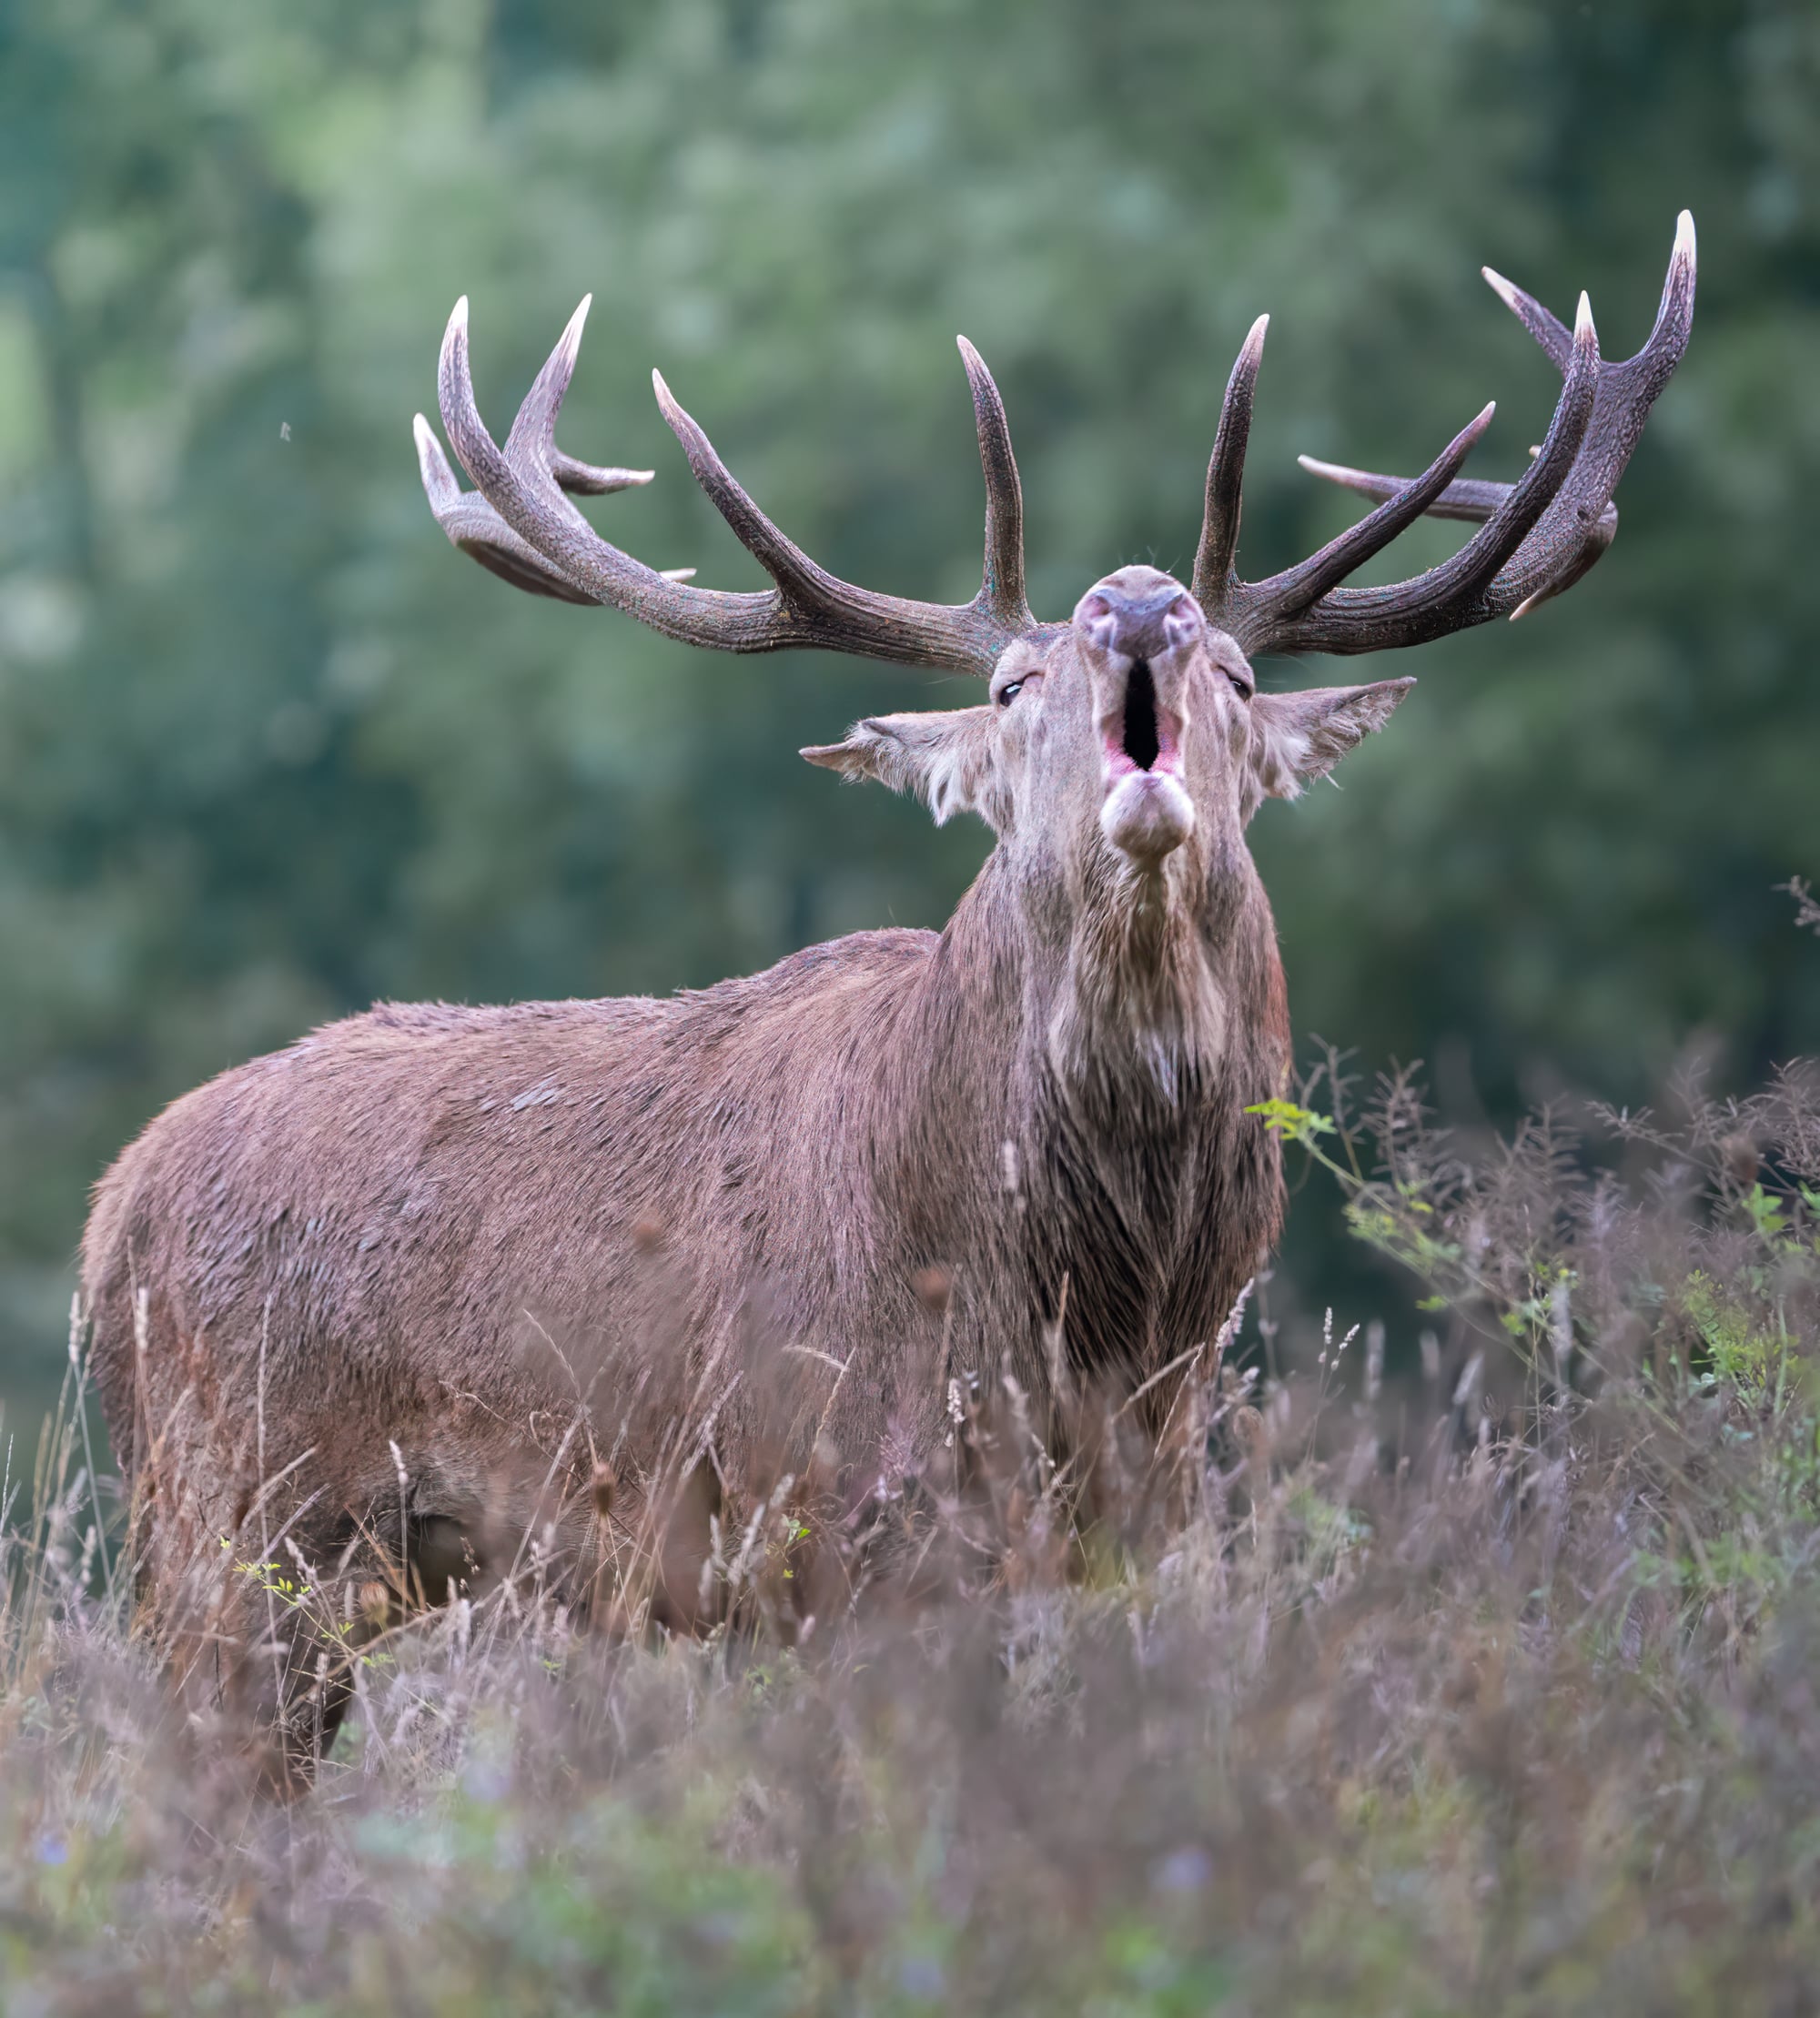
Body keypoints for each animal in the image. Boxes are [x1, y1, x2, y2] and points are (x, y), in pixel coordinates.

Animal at [82, 214, 1694, 1777]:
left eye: (1241, 678)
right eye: (1007, 689)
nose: (1139, 601)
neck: (1091, 1306)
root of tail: (113, 1212)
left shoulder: (1143, 1516)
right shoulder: (840, 1521)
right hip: (235, 1523)